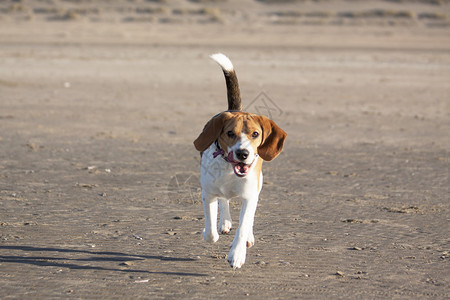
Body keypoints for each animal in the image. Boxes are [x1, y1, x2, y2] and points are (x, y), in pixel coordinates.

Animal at [194, 52, 286, 268]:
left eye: (255, 134)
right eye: (229, 133)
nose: (242, 153)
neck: (230, 170)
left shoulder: (250, 196)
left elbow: (244, 224)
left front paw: (237, 254)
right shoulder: (208, 193)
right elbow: (210, 231)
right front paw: (210, 230)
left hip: (258, 186)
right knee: (224, 202)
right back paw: (225, 222)